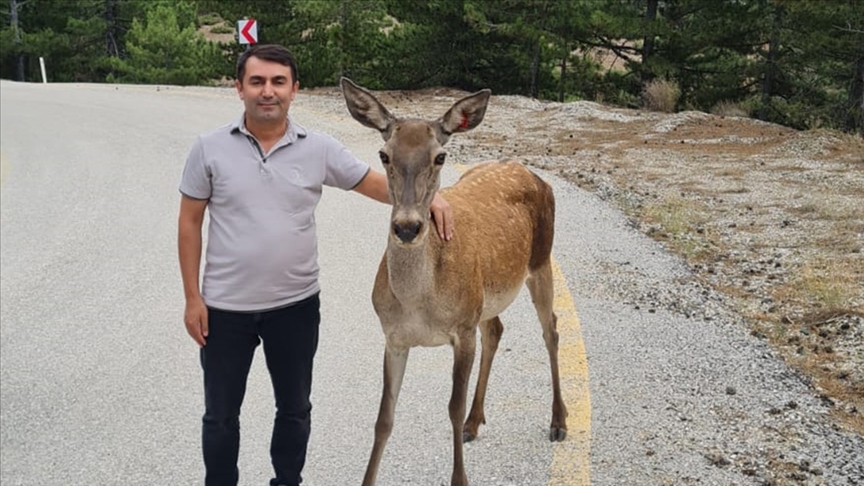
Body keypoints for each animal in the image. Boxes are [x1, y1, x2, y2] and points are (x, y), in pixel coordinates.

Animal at [340, 77, 572, 486]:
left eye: (440, 157)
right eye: (384, 155)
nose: (407, 227)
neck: (419, 304)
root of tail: (533, 174)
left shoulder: (462, 329)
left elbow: (451, 407)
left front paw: (459, 477)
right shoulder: (393, 336)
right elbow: (384, 418)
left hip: (541, 261)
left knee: (552, 329)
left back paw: (558, 421)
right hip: (486, 297)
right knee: (496, 329)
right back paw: (475, 422)